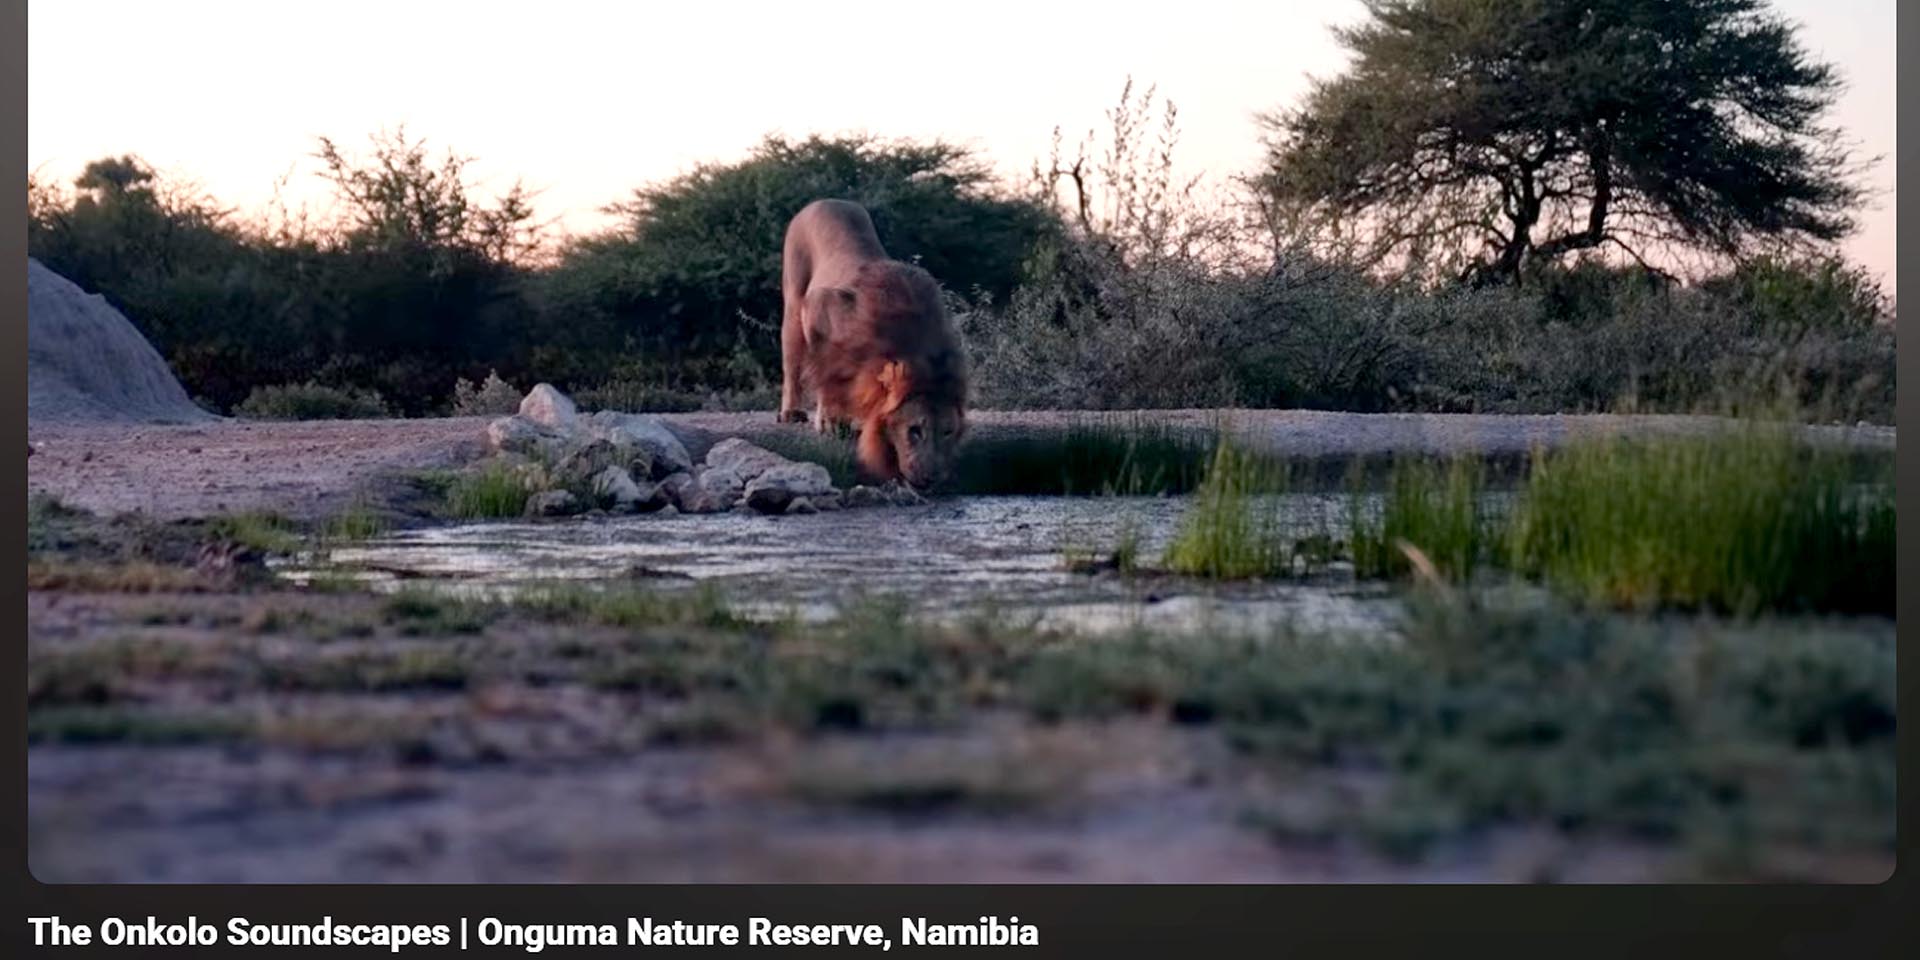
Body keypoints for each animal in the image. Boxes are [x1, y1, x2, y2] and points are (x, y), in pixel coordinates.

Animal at [779, 199, 969, 489]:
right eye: (914, 430)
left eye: (947, 432)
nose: (930, 479)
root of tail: (824, 201)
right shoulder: (819, 307)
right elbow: (825, 377)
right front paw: (830, 422)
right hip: (794, 305)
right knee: (791, 365)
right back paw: (791, 412)